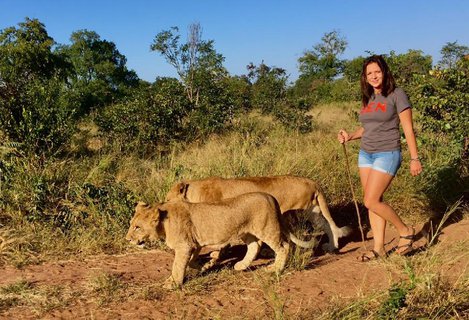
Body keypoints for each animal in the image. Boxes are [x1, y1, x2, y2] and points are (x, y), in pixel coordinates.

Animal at [125, 192, 314, 290]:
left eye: (137, 227)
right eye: (131, 224)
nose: (127, 239)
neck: (163, 223)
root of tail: (270, 196)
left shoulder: (185, 246)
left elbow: (177, 265)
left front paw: (173, 283)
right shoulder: (193, 244)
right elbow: (191, 262)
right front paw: (206, 265)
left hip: (267, 228)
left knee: (283, 246)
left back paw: (275, 269)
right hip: (246, 231)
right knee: (254, 246)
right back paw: (241, 266)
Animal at [165, 175, 352, 252]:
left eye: (167, 199)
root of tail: (312, 182)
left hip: (299, 211)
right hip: (311, 211)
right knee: (327, 224)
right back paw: (332, 246)